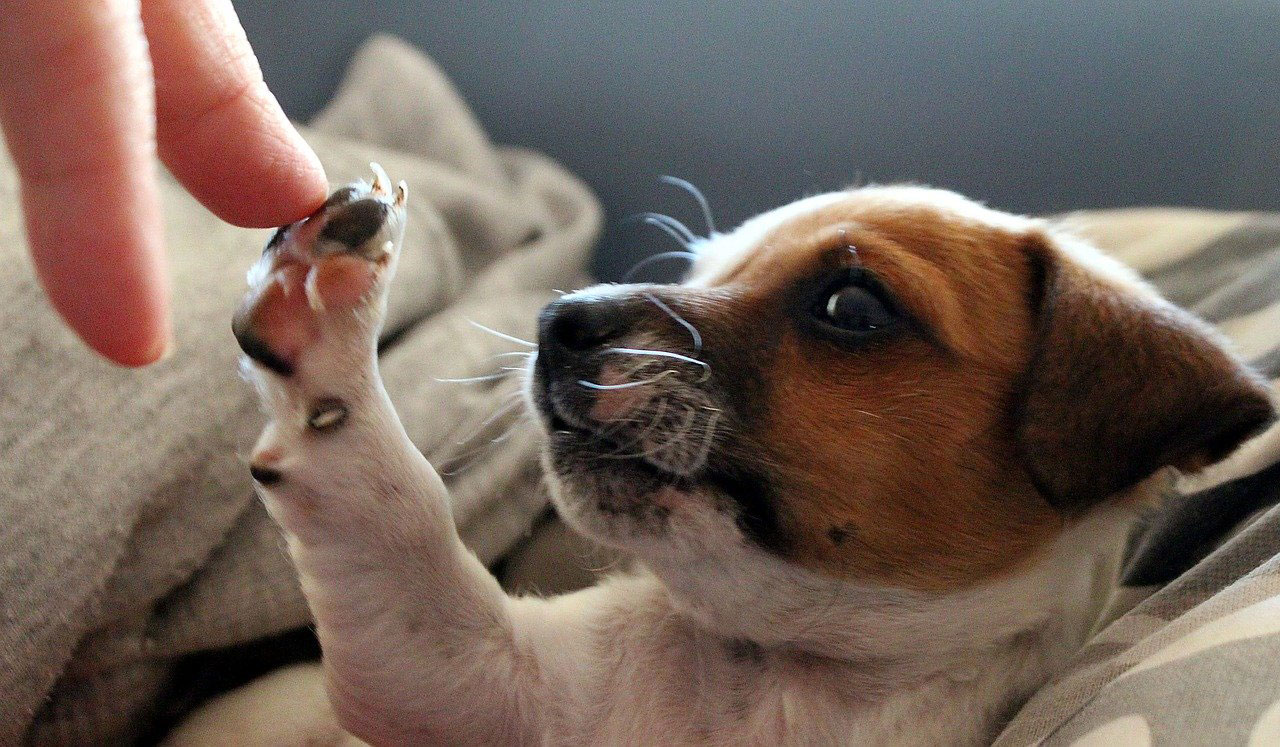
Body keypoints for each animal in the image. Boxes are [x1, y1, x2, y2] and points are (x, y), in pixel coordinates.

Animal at [177, 172, 1269, 741]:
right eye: (699, 269)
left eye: (851, 306)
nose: (554, 320)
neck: (782, 673)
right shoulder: (459, 677)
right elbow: (392, 501)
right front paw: (321, 312)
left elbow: (390, 503)